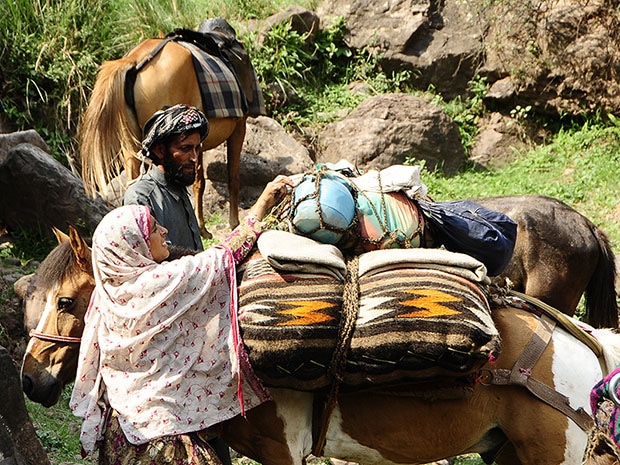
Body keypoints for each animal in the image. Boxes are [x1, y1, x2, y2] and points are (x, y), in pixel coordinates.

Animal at [79, 19, 263, 235]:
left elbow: (199, 182)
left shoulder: (197, 140)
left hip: (130, 146)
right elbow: (232, 177)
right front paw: (233, 224)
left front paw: (202, 226)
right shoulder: (239, 127)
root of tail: (133, 60)